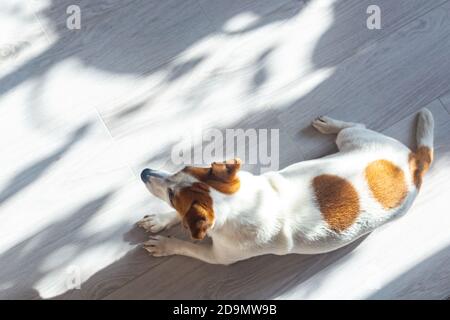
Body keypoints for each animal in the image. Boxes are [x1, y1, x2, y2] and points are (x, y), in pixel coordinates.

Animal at [137, 110, 432, 264]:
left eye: (172, 195)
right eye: (181, 169)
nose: (144, 172)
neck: (241, 203)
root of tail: (415, 162)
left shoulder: (218, 256)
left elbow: (189, 247)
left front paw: (165, 244)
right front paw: (159, 220)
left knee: (355, 124)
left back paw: (330, 124)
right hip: (355, 138)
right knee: (355, 125)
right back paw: (329, 125)